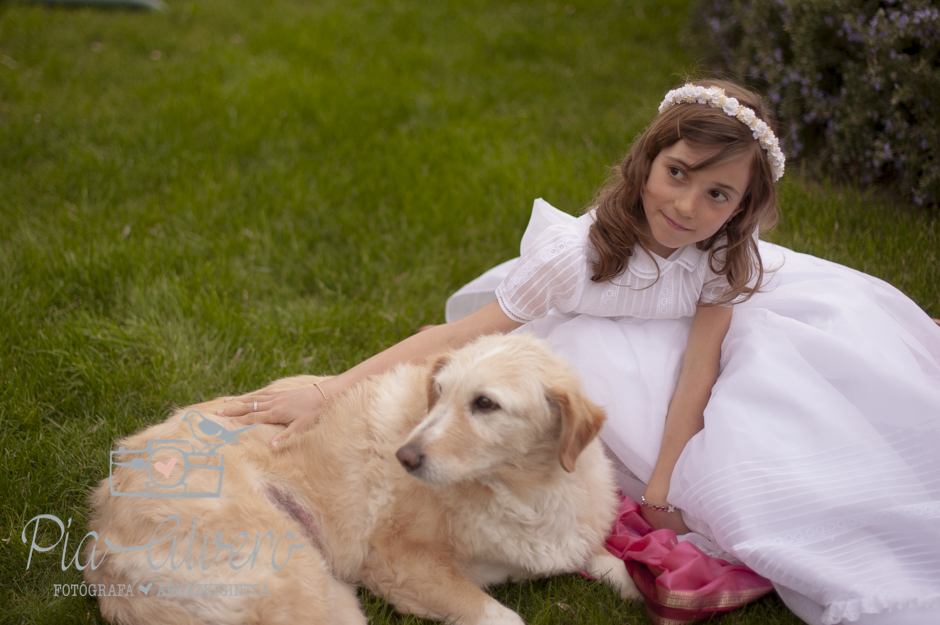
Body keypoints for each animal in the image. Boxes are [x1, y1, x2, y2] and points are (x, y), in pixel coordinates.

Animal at [86, 334, 640, 624]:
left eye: (486, 404)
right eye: (438, 394)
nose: (404, 457)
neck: (526, 493)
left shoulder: (570, 535)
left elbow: (618, 565)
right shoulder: (396, 563)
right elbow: (504, 616)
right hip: (309, 583)